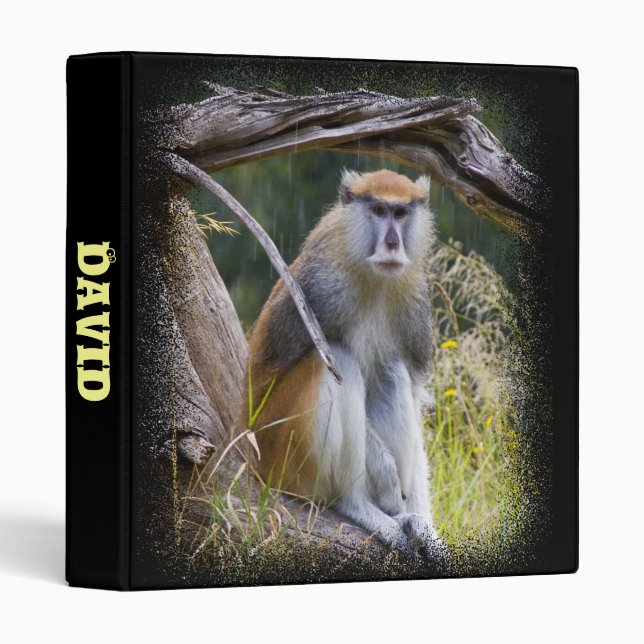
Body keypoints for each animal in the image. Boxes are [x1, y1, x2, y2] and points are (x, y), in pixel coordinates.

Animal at [244, 168, 444, 558]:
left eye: (400, 213)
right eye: (379, 211)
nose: (393, 243)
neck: (374, 277)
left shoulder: (414, 308)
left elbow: (413, 393)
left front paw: (424, 524)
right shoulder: (320, 289)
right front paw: (385, 477)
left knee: (391, 371)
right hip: (281, 453)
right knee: (338, 358)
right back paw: (358, 505)